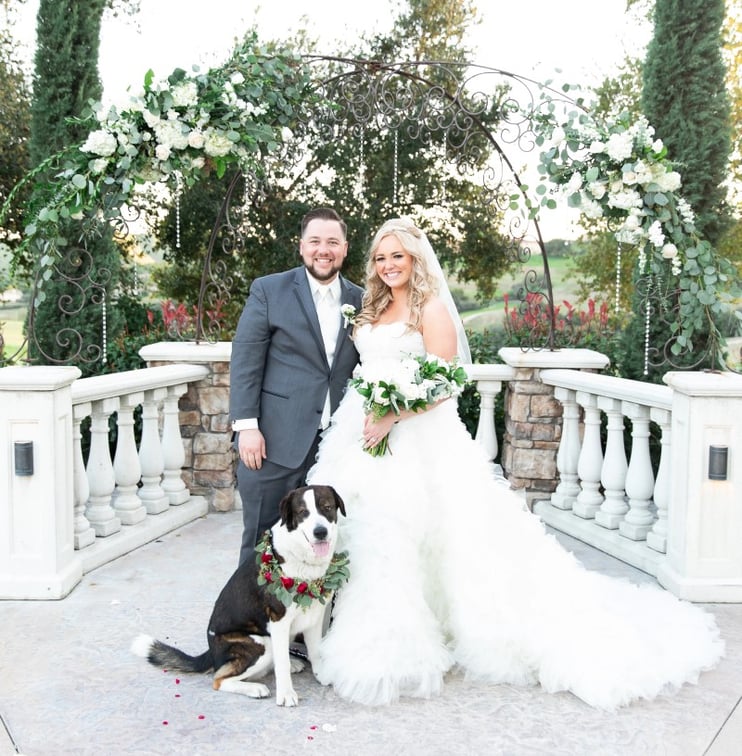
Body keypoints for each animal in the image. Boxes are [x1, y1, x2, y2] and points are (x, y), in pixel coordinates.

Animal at [130, 488, 346, 704]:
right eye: (303, 512)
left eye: (327, 507)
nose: (320, 532)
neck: (300, 558)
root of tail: (211, 653)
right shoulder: (279, 620)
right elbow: (282, 663)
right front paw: (286, 694)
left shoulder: (314, 615)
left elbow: (315, 650)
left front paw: (321, 674)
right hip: (261, 644)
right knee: (219, 679)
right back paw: (255, 688)